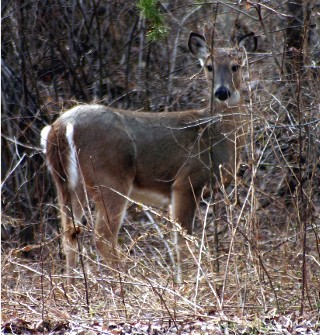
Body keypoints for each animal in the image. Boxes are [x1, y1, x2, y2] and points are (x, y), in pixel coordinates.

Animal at [41, 30, 255, 286]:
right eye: (209, 66)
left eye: (235, 66)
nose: (222, 92)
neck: (215, 135)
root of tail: (61, 127)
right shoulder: (186, 182)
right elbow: (183, 241)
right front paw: (186, 282)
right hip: (110, 177)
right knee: (103, 236)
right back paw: (126, 282)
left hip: (67, 183)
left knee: (70, 233)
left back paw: (72, 286)